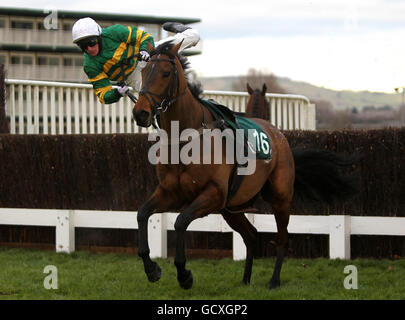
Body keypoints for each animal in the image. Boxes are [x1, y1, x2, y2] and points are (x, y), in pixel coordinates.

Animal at [131, 40, 358, 290]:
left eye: (165, 73)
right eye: (143, 72)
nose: (140, 113)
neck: (186, 138)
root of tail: (279, 135)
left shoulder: (213, 193)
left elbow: (181, 222)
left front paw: (184, 274)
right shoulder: (172, 192)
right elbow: (142, 214)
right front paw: (151, 268)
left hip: (280, 198)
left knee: (282, 238)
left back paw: (274, 280)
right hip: (231, 208)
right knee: (251, 234)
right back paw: (246, 279)